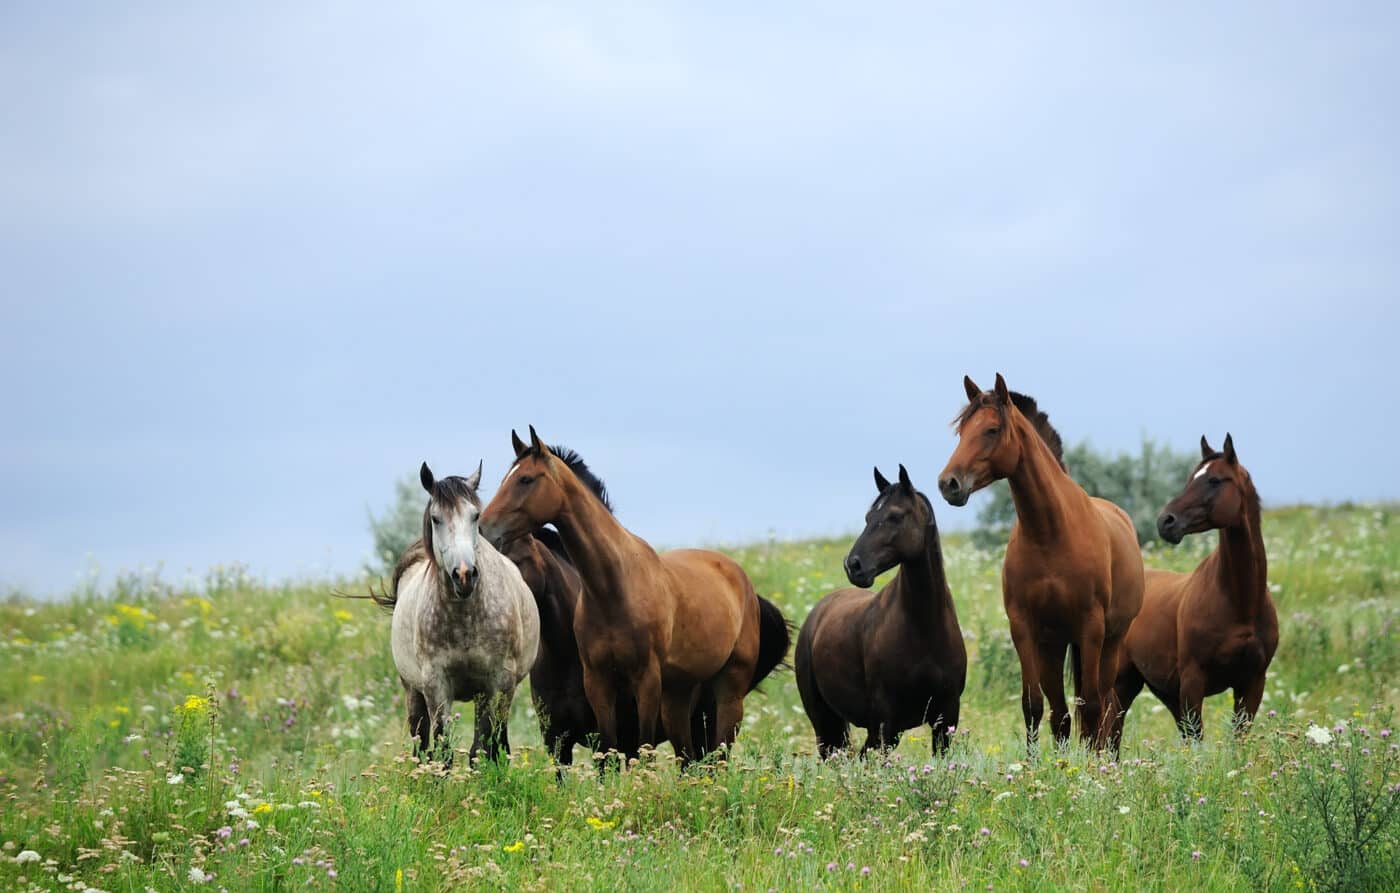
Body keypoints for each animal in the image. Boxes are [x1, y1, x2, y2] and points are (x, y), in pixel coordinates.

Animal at [375, 461, 539, 765]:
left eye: (475, 516)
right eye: (436, 518)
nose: (464, 575)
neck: (464, 619)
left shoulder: (496, 682)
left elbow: (485, 749)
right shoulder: (436, 684)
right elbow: (443, 751)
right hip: (413, 691)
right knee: (420, 743)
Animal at [480, 426, 791, 765]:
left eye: (526, 479)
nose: (483, 527)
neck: (613, 590)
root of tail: (742, 581)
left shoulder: (646, 681)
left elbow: (642, 749)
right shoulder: (598, 684)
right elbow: (609, 752)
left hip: (728, 693)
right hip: (678, 698)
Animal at [795, 465, 966, 758]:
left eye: (895, 516)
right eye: (868, 517)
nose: (853, 565)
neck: (925, 627)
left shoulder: (946, 717)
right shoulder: (886, 721)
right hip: (824, 720)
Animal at [937, 374, 1144, 750]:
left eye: (991, 430)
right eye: (962, 432)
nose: (949, 484)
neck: (1050, 535)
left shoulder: (1091, 628)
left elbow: (1091, 707)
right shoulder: (1025, 628)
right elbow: (1033, 705)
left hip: (1110, 641)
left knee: (1105, 704)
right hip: (1054, 646)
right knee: (1062, 712)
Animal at [1112, 434, 1277, 742]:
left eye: (1215, 480)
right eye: (1191, 478)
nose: (1166, 521)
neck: (1241, 602)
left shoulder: (1252, 683)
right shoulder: (1192, 682)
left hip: (1161, 690)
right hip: (1120, 681)